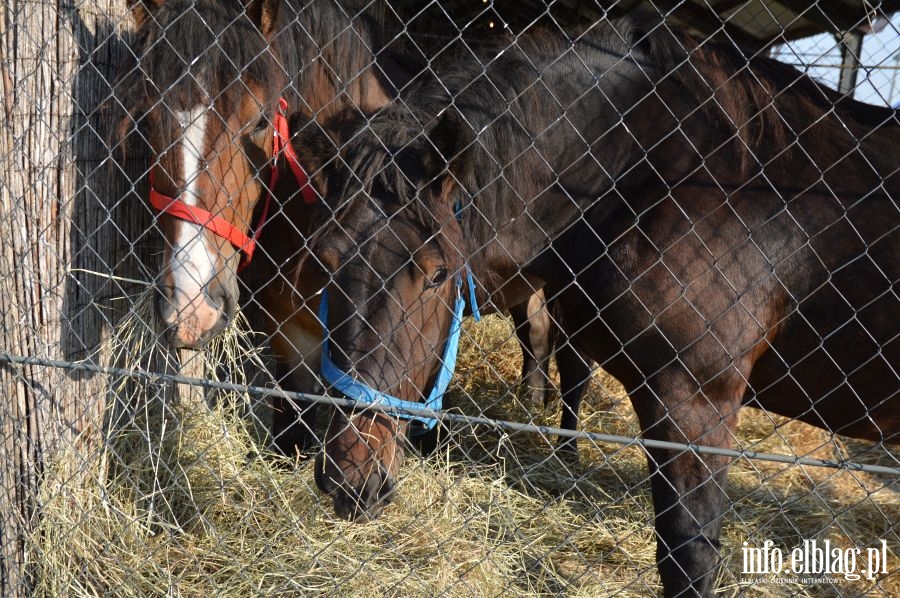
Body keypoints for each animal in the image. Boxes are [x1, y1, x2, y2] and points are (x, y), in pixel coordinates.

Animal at [292, 15, 896, 598]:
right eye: (322, 258)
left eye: (438, 273)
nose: (349, 475)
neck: (664, 175)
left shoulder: (698, 405)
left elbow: (690, 558)